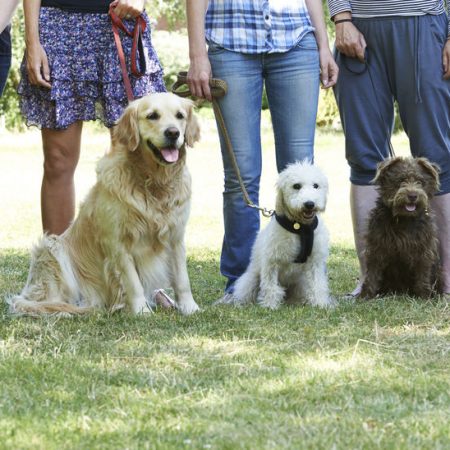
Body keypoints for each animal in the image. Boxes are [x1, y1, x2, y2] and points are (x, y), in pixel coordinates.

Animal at [8, 93, 202, 314]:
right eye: (152, 116)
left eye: (180, 116)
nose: (173, 132)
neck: (153, 182)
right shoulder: (117, 242)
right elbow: (133, 282)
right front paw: (141, 311)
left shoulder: (176, 236)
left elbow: (182, 278)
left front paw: (189, 307)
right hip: (51, 248)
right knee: (46, 300)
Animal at [230, 161, 332, 310]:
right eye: (296, 186)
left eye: (316, 185)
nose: (309, 204)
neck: (300, 228)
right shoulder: (272, 261)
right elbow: (271, 286)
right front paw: (270, 305)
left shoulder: (315, 261)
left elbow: (317, 284)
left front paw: (321, 304)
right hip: (250, 279)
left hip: (300, 283)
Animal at [360, 156, 442, 300]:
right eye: (401, 180)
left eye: (420, 182)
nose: (413, 195)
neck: (404, 218)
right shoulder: (377, 246)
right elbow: (372, 273)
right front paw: (366, 295)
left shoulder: (424, 249)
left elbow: (423, 273)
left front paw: (424, 296)